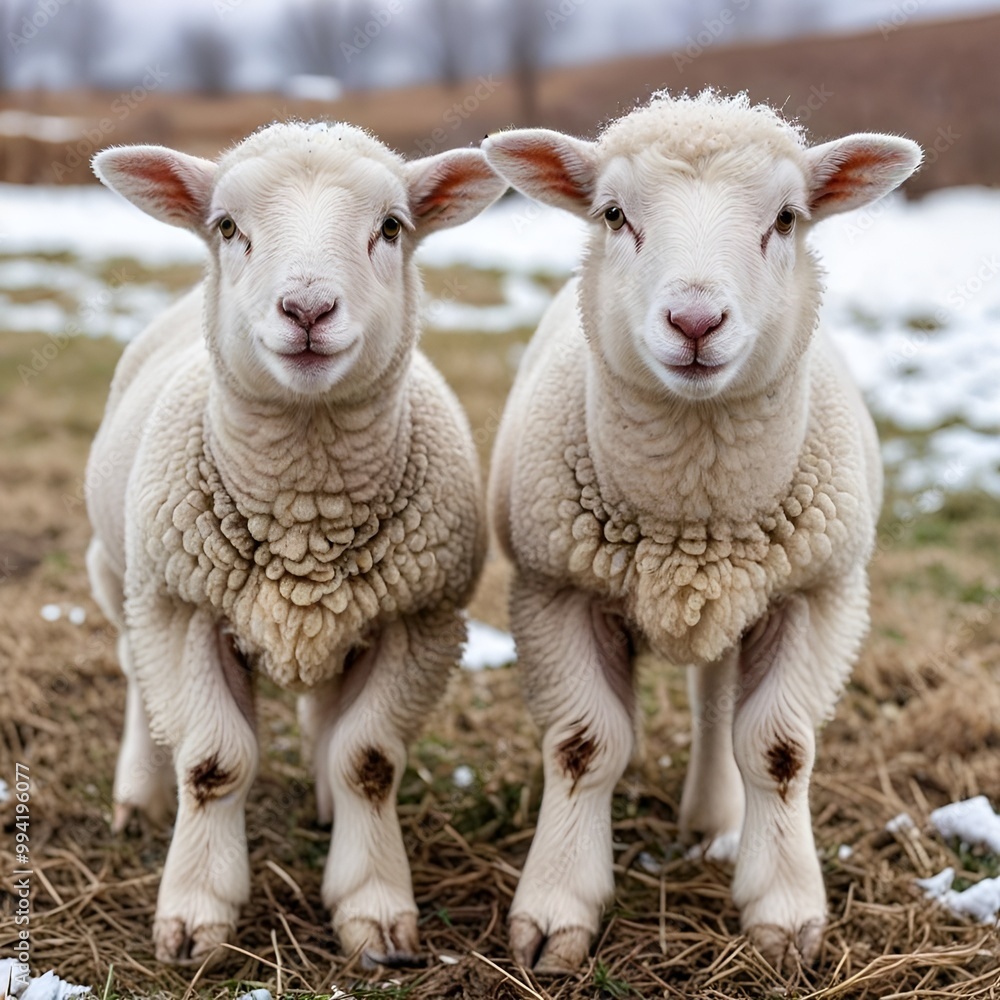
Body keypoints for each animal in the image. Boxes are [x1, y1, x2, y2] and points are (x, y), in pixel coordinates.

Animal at [84, 121, 506, 967]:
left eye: (391, 228)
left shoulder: (422, 622)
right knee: (138, 680)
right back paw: (139, 795)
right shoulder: (180, 610)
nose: (307, 308)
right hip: (122, 579)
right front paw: (196, 914)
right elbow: (213, 762)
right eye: (227, 227)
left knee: (326, 709)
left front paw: (373, 907)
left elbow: (366, 761)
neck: (305, 512)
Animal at [482, 91, 921, 973]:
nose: (694, 321)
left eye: (786, 219)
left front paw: (783, 911)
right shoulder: (555, 589)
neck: (693, 509)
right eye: (614, 214)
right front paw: (557, 909)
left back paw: (715, 819)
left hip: (745, 596)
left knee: (718, 706)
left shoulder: (819, 595)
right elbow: (583, 747)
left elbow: (780, 751)